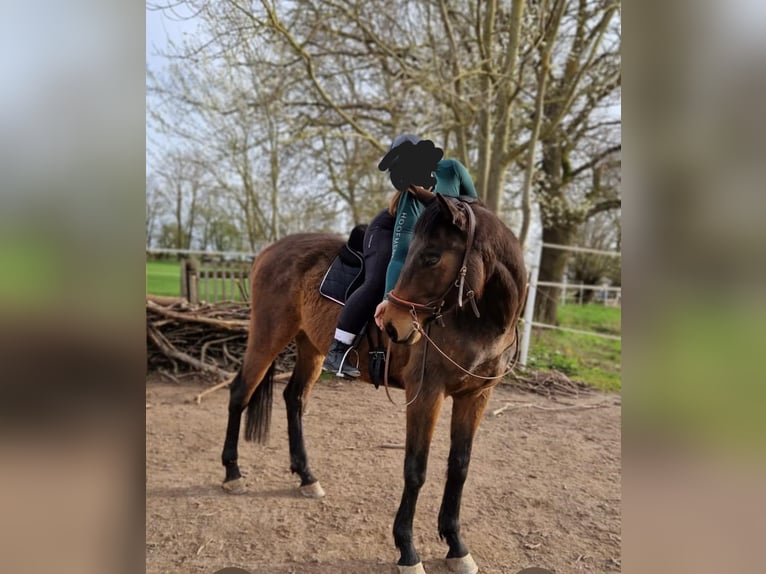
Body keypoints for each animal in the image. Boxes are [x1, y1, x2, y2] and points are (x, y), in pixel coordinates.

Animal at [221, 194, 527, 574]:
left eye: (432, 256)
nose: (392, 322)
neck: (477, 322)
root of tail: (270, 251)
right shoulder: (426, 394)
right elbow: (416, 469)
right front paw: (407, 550)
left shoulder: (476, 396)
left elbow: (459, 467)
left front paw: (456, 546)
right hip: (268, 337)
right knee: (240, 393)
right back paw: (232, 472)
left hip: (310, 347)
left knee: (294, 398)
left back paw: (306, 476)